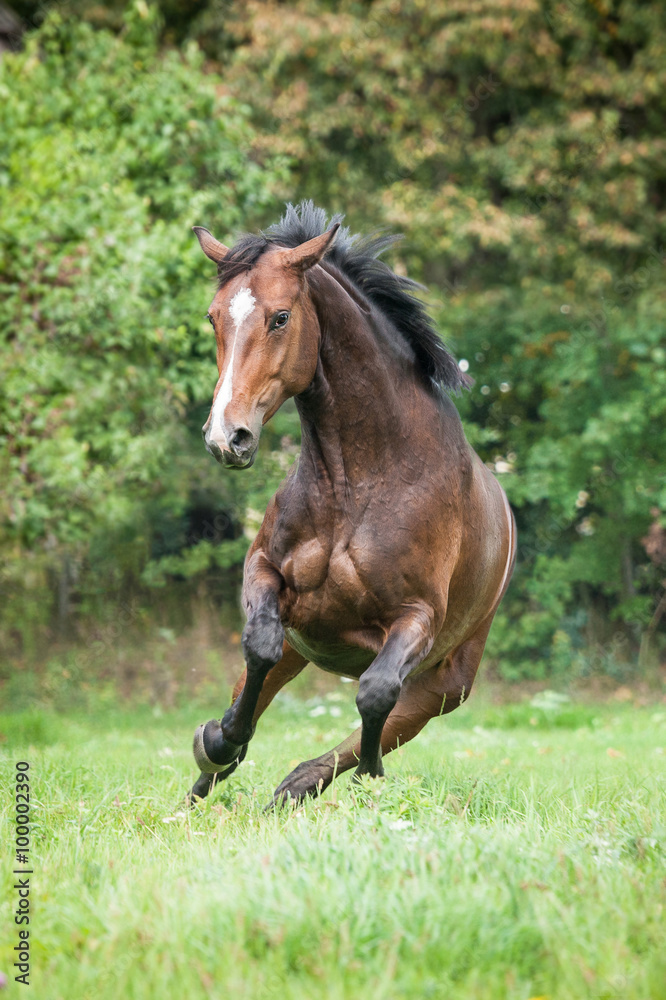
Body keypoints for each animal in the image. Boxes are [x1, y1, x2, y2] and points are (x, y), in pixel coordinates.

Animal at [187, 203, 512, 804]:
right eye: (213, 317)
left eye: (281, 318)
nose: (227, 437)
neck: (356, 485)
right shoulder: (265, 574)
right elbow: (259, 645)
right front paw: (221, 739)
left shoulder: (416, 617)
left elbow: (376, 693)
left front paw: (370, 774)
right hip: (304, 645)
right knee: (257, 682)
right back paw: (212, 769)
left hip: (447, 684)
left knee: (392, 710)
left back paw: (302, 783)